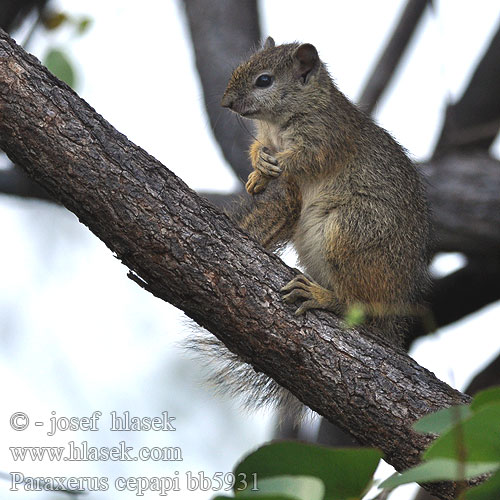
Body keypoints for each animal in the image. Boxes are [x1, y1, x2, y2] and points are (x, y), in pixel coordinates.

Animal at [191, 37, 430, 414]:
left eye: (264, 81)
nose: (226, 103)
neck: (278, 122)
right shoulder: (271, 145)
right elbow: (261, 152)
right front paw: (258, 168)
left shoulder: (327, 136)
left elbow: (305, 158)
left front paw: (272, 166)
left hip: (351, 232)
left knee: (357, 305)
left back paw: (322, 295)